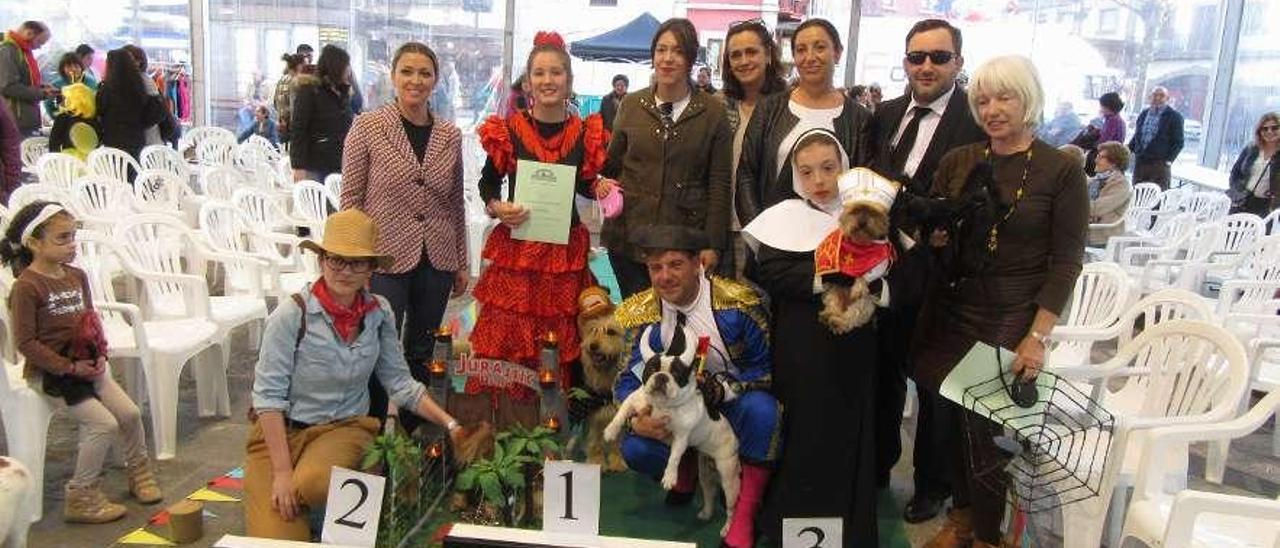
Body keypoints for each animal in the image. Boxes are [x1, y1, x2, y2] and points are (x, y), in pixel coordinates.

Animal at [578, 286, 627, 471]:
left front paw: (618, 461)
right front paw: (596, 461)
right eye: (593, 330)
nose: (593, 346)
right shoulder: (594, 415)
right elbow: (594, 441)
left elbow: (617, 441)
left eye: (611, 332)